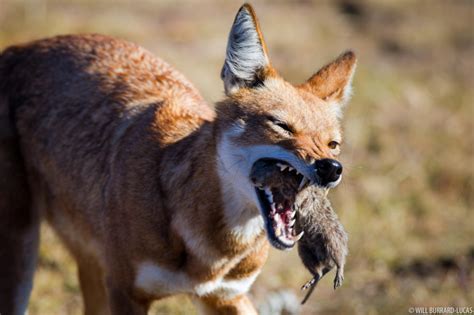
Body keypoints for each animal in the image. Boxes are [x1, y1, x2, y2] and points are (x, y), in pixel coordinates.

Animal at [0, 3, 356, 315]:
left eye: (333, 144)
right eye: (281, 125)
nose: (330, 168)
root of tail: (17, 48)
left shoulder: (225, 296)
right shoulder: (125, 292)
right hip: (22, 259)